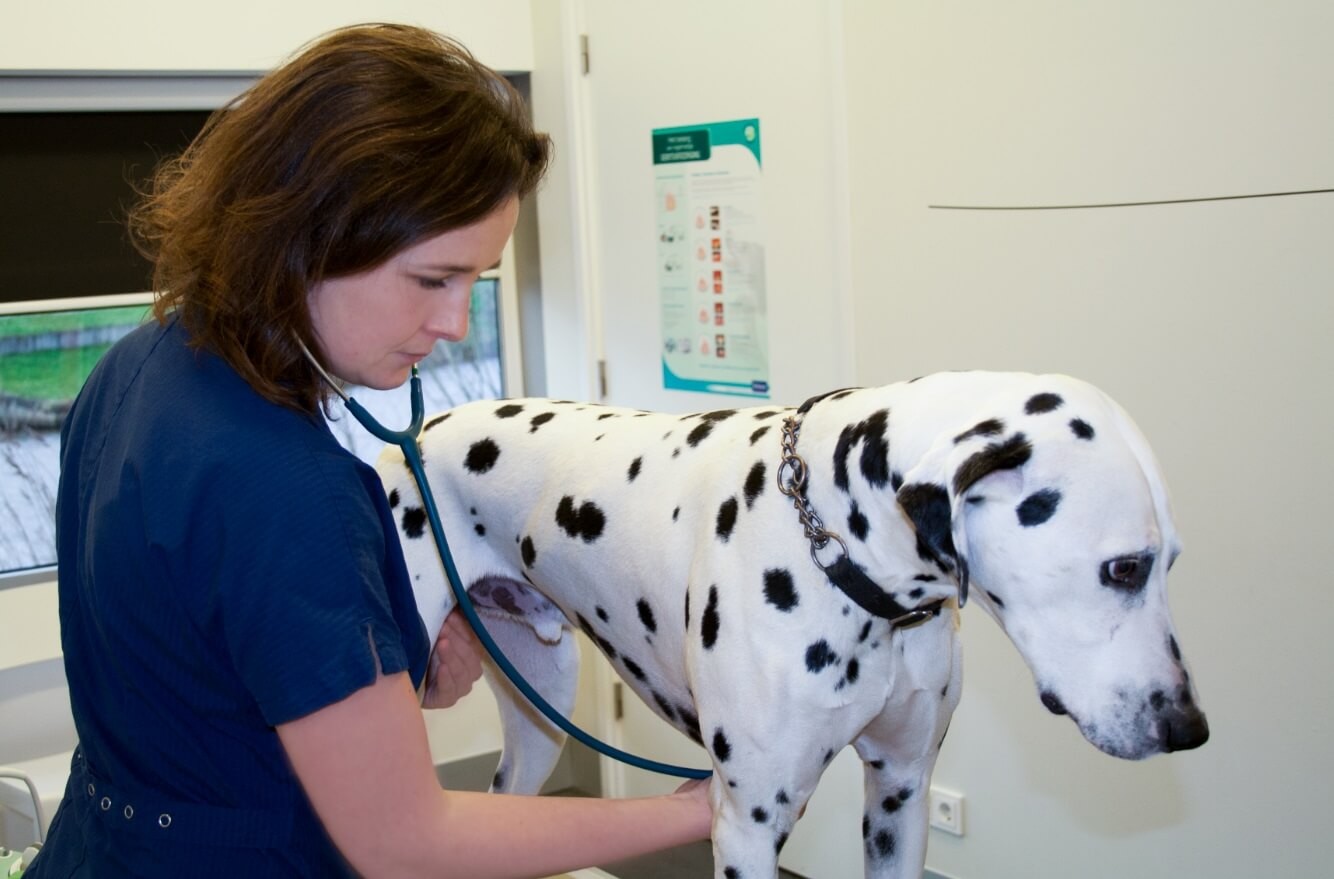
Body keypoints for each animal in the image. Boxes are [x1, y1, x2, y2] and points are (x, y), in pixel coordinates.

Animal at [376, 370, 1211, 879]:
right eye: (1124, 568)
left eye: (1170, 562)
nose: (1189, 728)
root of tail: (417, 433)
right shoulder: (748, 823)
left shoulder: (902, 792)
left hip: (541, 714)